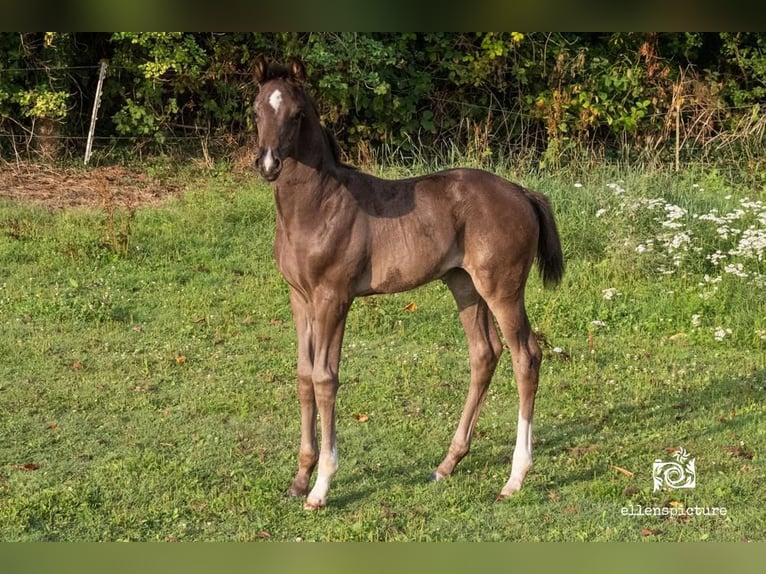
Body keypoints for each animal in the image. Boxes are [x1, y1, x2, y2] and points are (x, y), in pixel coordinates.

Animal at [252, 57, 564, 509]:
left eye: (296, 114)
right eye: (256, 111)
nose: (269, 163)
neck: (317, 206)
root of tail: (522, 192)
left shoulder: (333, 297)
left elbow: (326, 379)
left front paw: (321, 486)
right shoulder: (299, 297)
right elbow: (304, 375)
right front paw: (299, 477)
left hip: (502, 289)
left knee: (526, 356)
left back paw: (515, 477)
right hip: (464, 285)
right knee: (485, 353)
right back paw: (448, 463)